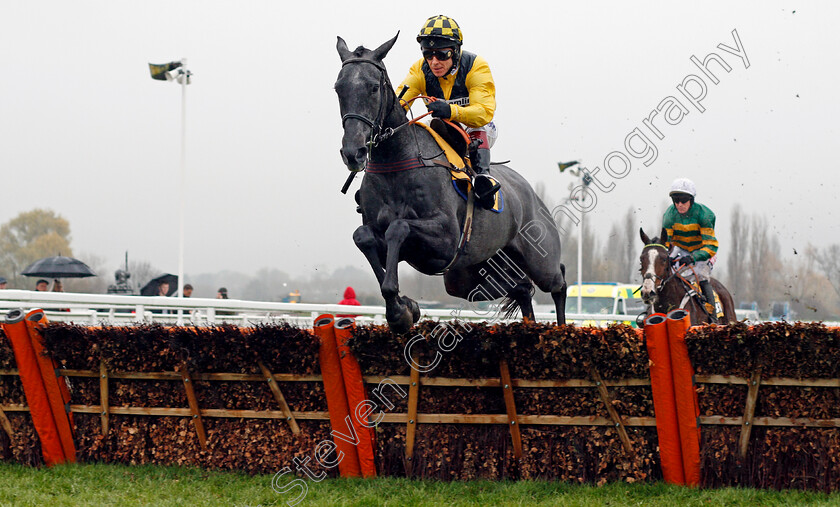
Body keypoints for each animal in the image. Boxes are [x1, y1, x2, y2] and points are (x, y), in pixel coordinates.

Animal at [334, 31, 564, 334]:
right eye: (338, 88)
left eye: (373, 87)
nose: (354, 152)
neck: (396, 165)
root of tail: (533, 196)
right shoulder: (387, 240)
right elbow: (363, 237)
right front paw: (405, 307)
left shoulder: (446, 239)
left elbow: (398, 227)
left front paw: (400, 310)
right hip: (469, 276)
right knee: (521, 288)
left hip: (540, 259)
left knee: (558, 282)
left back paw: (563, 328)